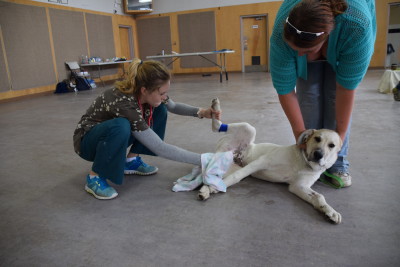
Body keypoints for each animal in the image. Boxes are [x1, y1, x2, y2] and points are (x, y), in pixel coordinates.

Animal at [200, 98, 344, 224]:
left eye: (332, 145)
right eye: (317, 138)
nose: (318, 154)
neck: (302, 162)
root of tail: (233, 152)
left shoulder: (298, 186)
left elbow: (319, 196)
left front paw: (330, 211)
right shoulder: (261, 161)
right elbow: (237, 176)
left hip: (228, 165)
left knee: (214, 175)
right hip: (249, 129)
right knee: (218, 128)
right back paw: (214, 108)